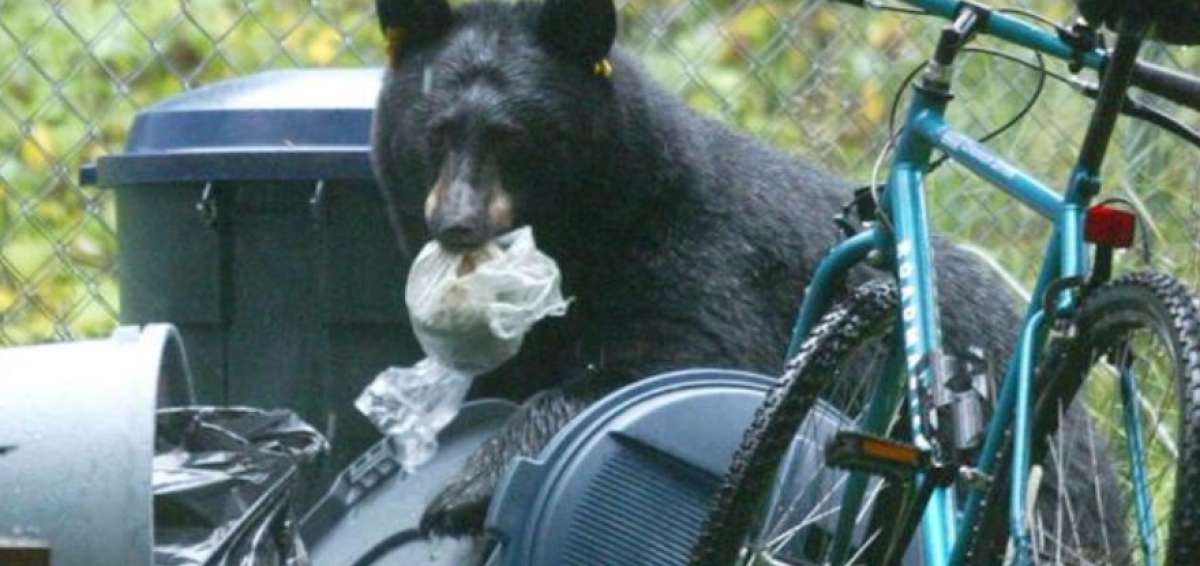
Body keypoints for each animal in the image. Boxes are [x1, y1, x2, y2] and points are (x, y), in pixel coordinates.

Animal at [368, 0, 1124, 557]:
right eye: (435, 133)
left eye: (514, 137)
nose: (457, 223)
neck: (595, 229)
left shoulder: (707, 255)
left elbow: (683, 357)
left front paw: (461, 489)